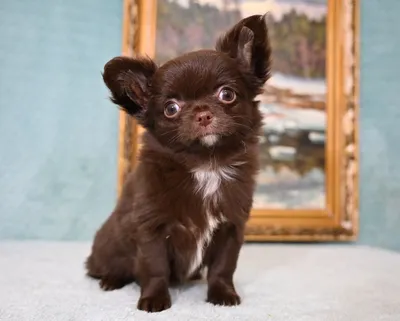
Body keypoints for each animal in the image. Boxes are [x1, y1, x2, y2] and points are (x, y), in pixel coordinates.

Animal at [85, 13, 272, 312]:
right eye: (171, 109)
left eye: (227, 94)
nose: (203, 114)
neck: (207, 164)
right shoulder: (151, 229)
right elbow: (155, 267)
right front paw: (154, 299)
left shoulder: (230, 227)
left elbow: (223, 267)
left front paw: (222, 294)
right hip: (109, 246)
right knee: (104, 267)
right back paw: (110, 279)